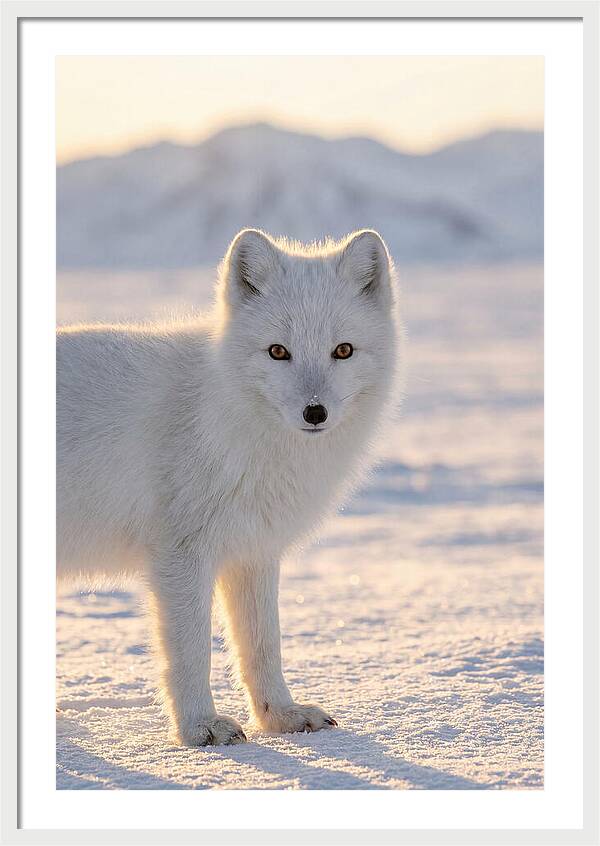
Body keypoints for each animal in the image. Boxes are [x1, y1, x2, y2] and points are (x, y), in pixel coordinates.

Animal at [57, 228, 402, 746]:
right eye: (278, 351)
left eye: (343, 350)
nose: (315, 412)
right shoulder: (180, 554)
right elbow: (191, 651)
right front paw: (199, 728)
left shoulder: (253, 550)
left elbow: (262, 644)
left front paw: (280, 716)